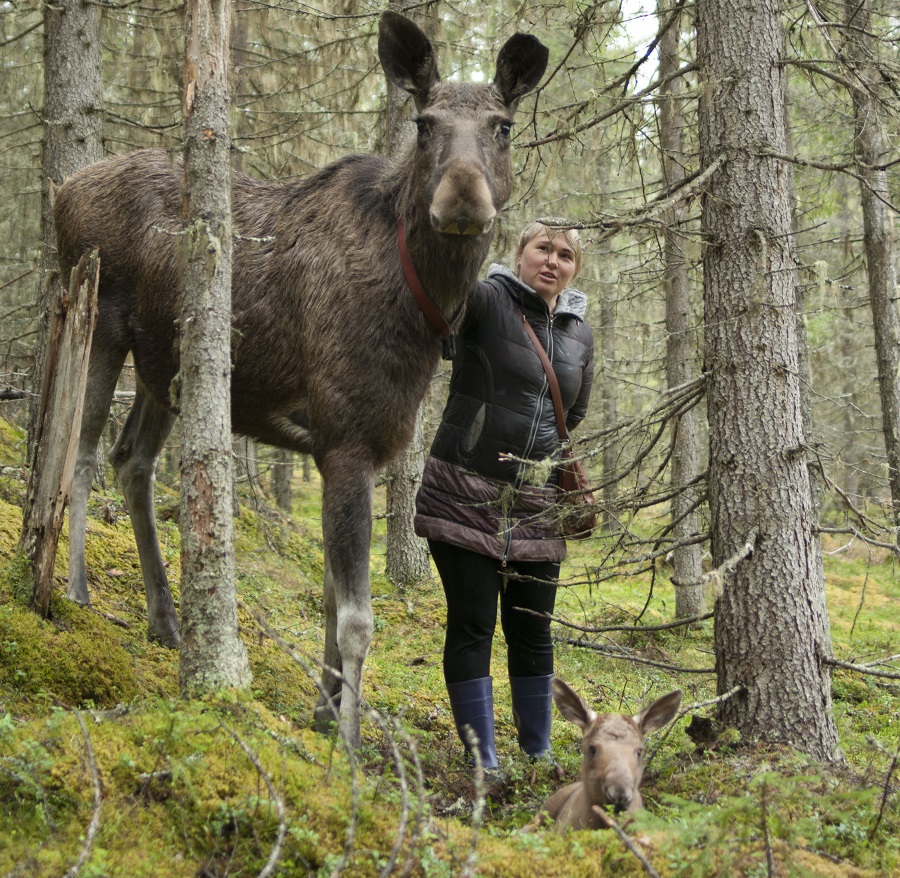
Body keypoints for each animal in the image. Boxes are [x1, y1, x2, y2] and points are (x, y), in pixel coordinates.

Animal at [54, 10, 548, 744]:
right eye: (424, 123)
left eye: (503, 126)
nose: (463, 196)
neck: (423, 308)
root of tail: (60, 195)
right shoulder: (346, 442)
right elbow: (356, 619)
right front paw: (349, 742)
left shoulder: (343, 451)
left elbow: (327, 598)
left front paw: (324, 709)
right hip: (101, 324)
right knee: (82, 453)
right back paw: (78, 591)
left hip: (166, 369)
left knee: (131, 460)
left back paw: (167, 619)